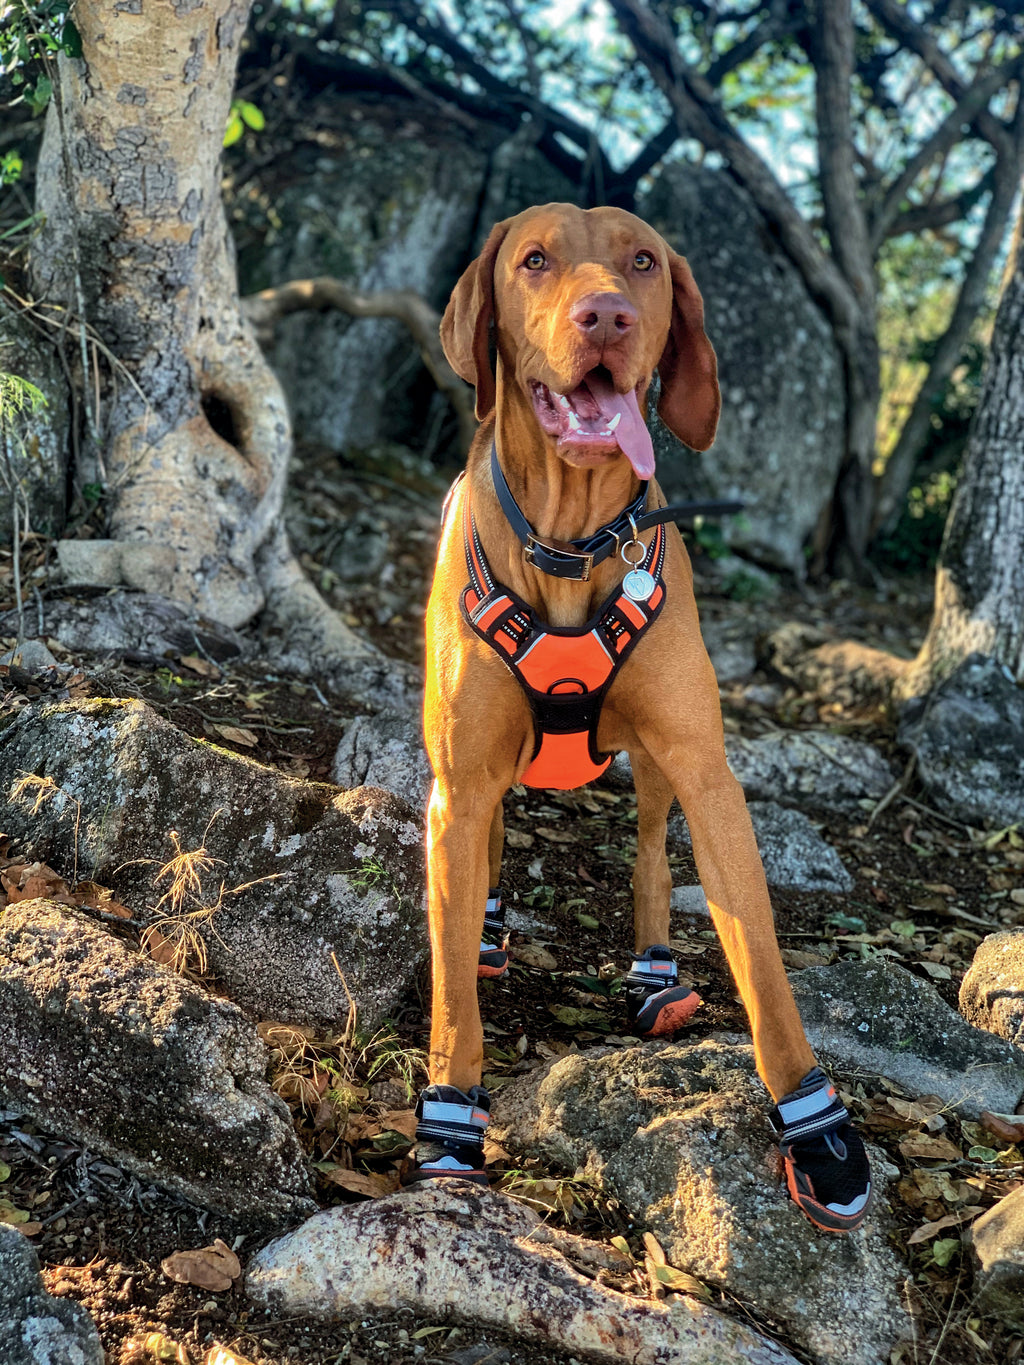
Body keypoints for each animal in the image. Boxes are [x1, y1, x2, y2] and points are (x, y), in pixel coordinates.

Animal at [412, 204, 873, 1239]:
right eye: (533, 259)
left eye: (645, 263)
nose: (608, 318)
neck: (570, 543)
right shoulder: (459, 782)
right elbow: (451, 983)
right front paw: (451, 1119)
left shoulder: (705, 770)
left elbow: (764, 965)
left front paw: (815, 1126)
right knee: (489, 852)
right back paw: (492, 931)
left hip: (660, 773)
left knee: (654, 855)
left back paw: (657, 974)